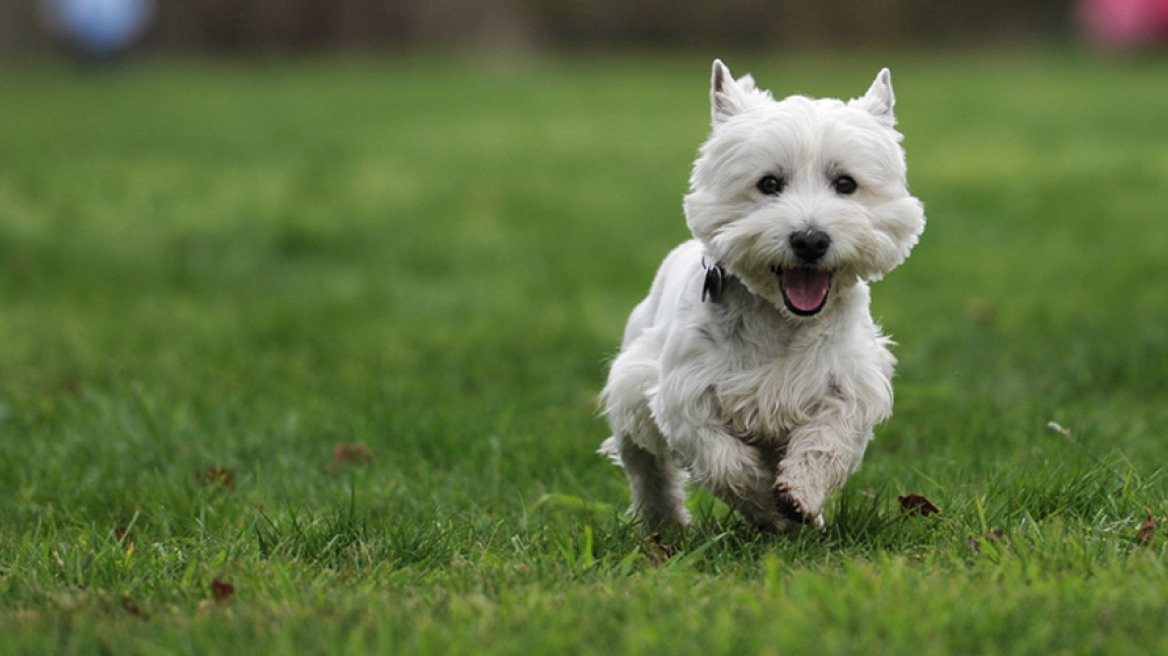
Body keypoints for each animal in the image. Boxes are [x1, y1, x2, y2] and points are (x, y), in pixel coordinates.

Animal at [602, 60, 920, 532]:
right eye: (769, 183)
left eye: (846, 183)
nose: (810, 240)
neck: (781, 320)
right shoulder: (686, 395)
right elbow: (724, 460)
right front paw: (767, 506)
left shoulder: (848, 386)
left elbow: (827, 439)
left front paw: (800, 495)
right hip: (632, 380)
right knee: (647, 467)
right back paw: (665, 525)